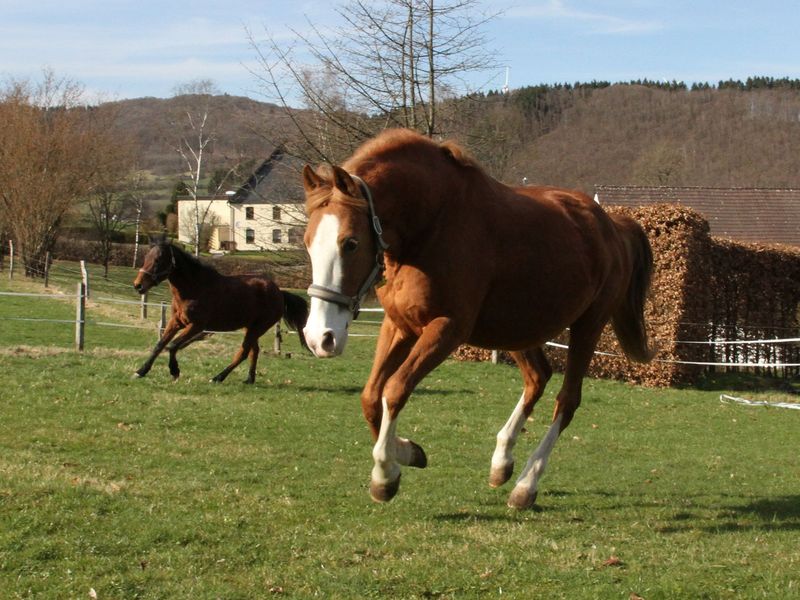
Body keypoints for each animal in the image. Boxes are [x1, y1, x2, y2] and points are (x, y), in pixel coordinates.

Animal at [133, 239, 308, 384]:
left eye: (158, 260)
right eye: (146, 257)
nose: (138, 285)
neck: (194, 288)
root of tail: (280, 293)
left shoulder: (197, 326)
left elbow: (173, 345)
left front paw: (174, 371)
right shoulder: (176, 322)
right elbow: (160, 345)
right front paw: (141, 371)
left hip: (258, 327)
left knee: (244, 352)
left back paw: (218, 377)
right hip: (250, 328)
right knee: (253, 351)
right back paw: (249, 379)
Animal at [304, 129, 652, 508]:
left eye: (350, 243)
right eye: (307, 242)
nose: (319, 338)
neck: (432, 224)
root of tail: (612, 225)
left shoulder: (446, 329)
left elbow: (394, 390)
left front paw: (385, 475)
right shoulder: (398, 325)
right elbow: (370, 396)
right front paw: (408, 453)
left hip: (588, 326)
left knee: (567, 400)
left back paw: (526, 484)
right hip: (516, 328)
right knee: (537, 377)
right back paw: (502, 462)